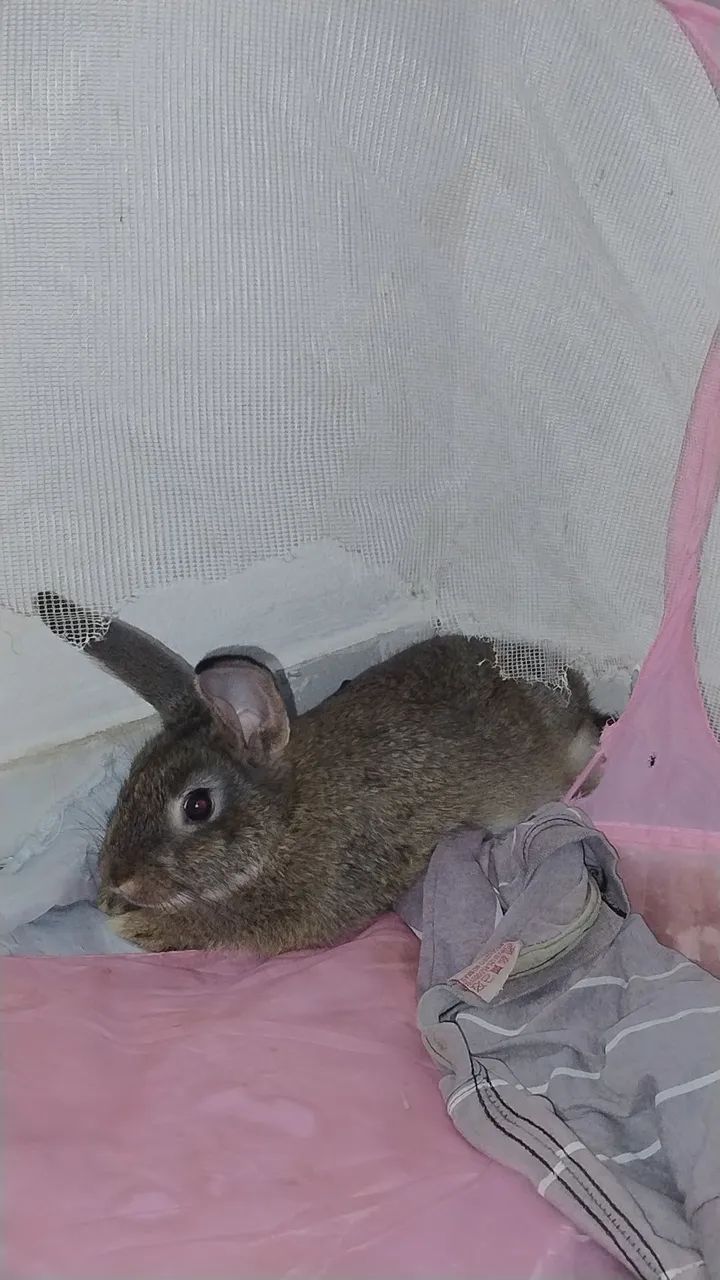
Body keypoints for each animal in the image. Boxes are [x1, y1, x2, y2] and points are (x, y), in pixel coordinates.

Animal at [36, 591, 603, 955]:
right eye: (131, 778)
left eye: (197, 806)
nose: (117, 876)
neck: (288, 817)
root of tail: (573, 690)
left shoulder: (318, 898)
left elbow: (226, 922)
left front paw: (141, 926)